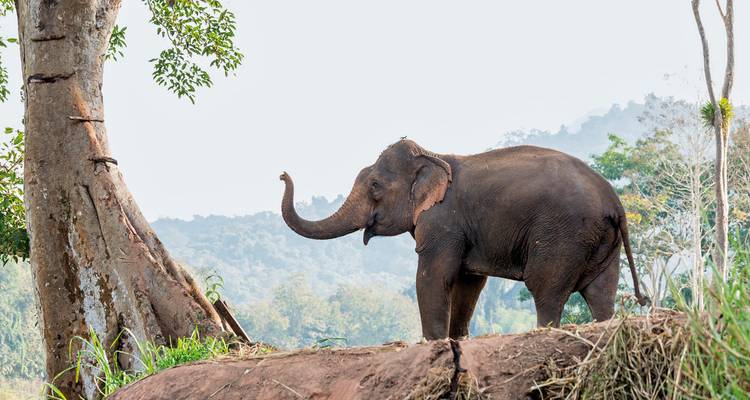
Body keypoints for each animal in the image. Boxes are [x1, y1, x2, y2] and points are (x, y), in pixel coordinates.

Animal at [279, 139, 648, 340]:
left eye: (374, 186)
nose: (282, 173)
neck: (434, 155)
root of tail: (615, 204)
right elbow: (468, 284)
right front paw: (455, 339)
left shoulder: (444, 222)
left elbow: (434, 276)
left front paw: (432, 342)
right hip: (601, 242)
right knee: (601, 293)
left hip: (563, 234)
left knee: (546, 289)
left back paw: (544, 331)